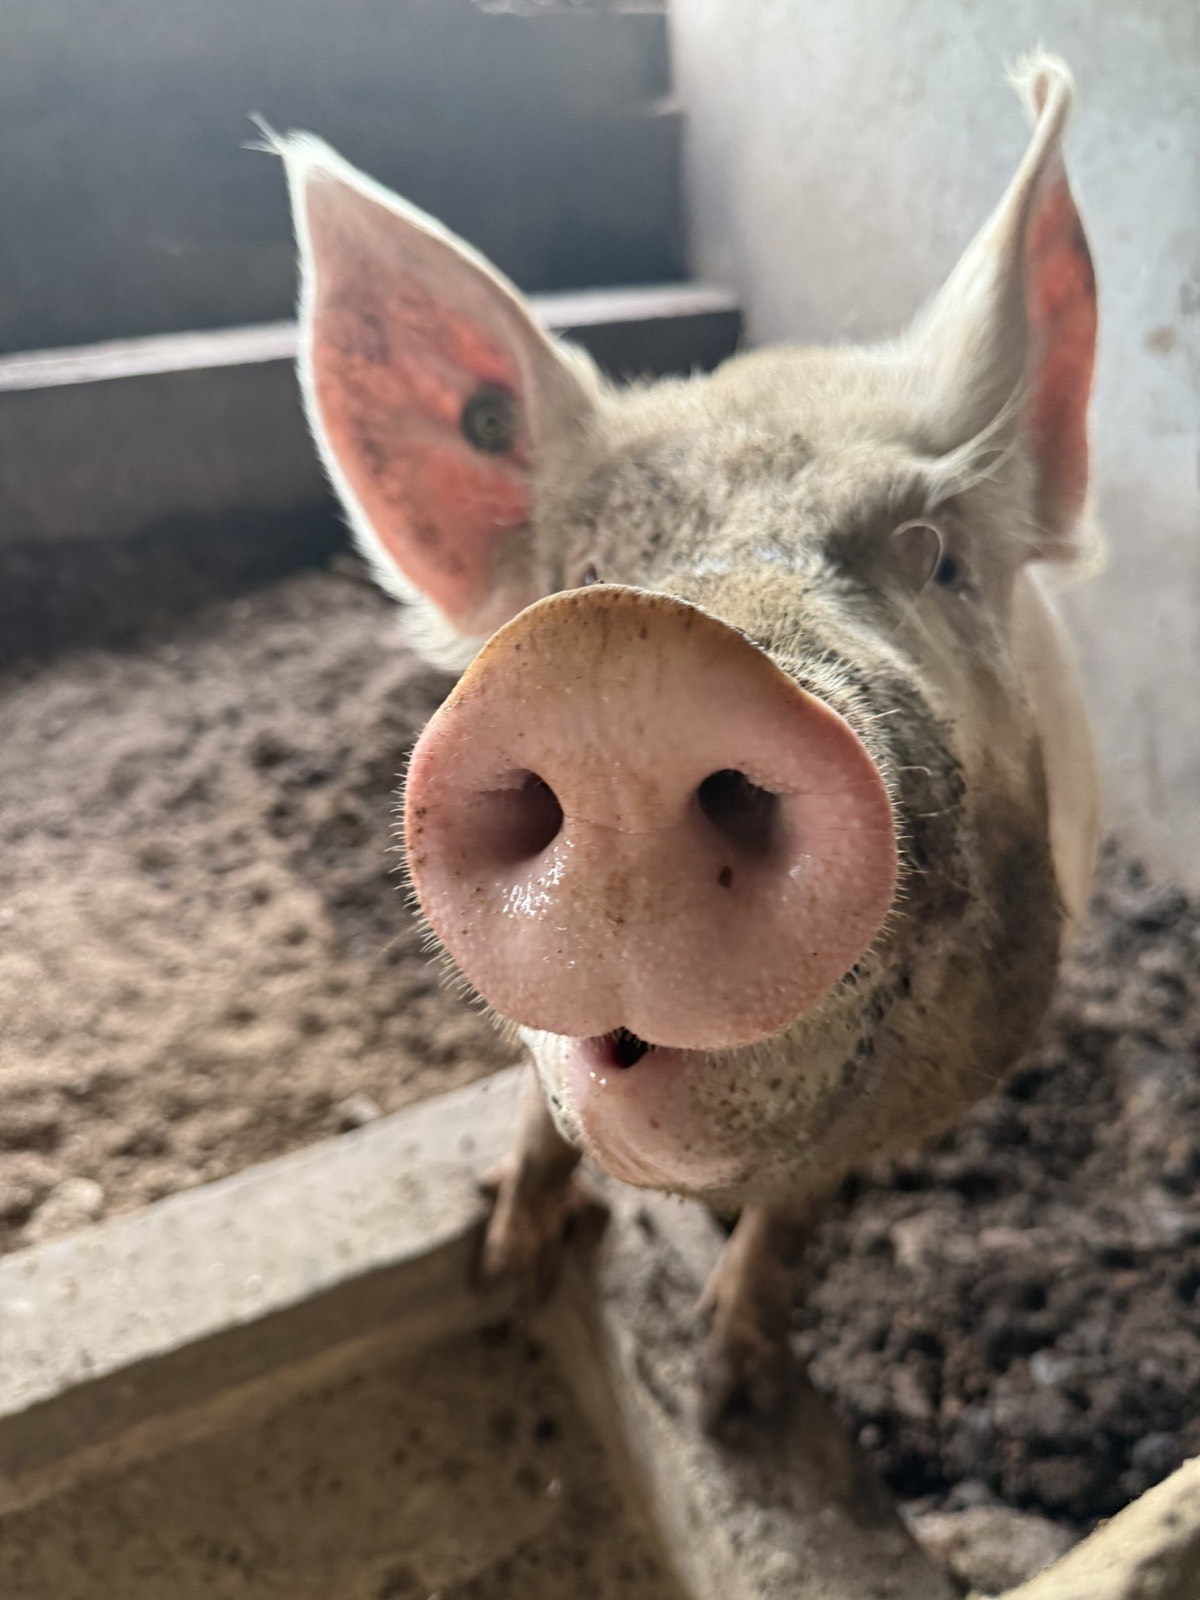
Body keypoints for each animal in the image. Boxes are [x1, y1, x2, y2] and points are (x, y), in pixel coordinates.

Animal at [275, 53, 1101, 1421]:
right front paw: (503, 1262)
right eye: (584, 571)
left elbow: (798, 1203)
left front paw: (730, 1392)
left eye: (936, 555)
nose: (619, 666)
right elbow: (537, 1112)